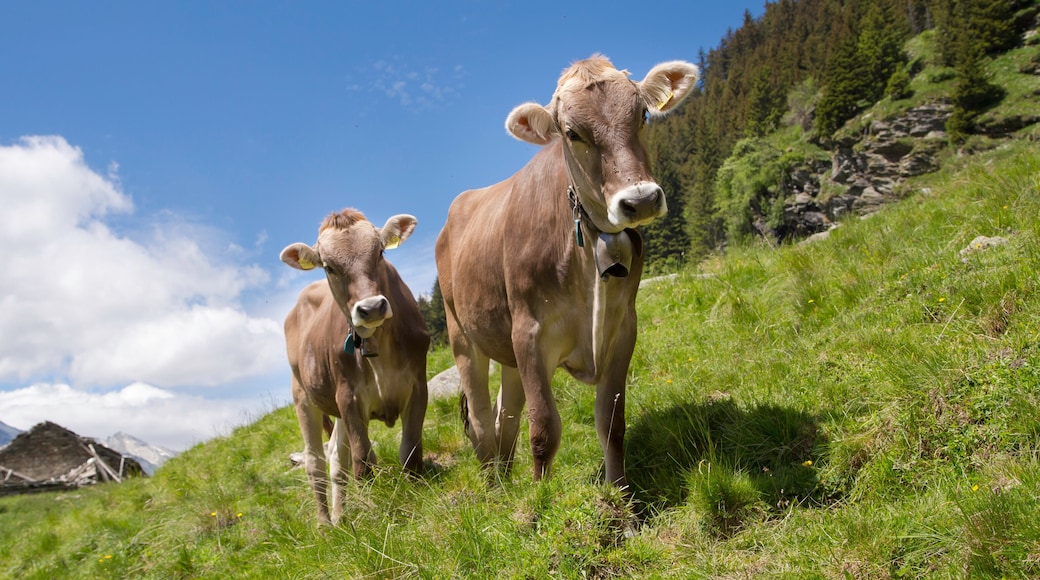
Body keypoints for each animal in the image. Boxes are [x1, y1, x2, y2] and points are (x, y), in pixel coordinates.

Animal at [281, 209, 430, 525]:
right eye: (329, 267)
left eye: (380, 252)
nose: (371, 308)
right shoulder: (348, 397)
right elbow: (363, 461)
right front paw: (374, 510)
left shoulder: (417, 385)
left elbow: (410, 449)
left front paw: (418, 495)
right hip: (302, 395)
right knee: (315, 463)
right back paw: (325, 524)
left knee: (337, 460)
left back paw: (340, 519)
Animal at [435, 55, 698, 490]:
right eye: (572, 133)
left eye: (642, 114)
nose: (640, 200)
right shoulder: (529, 333)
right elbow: (543, 428)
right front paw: (540, 500)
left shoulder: (624, 327)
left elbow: (611, 423)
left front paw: (620, 493)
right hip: (462, 335)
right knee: (480, 416)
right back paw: (493, 486)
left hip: (505, 347)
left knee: (506, 414)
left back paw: (505, 479)